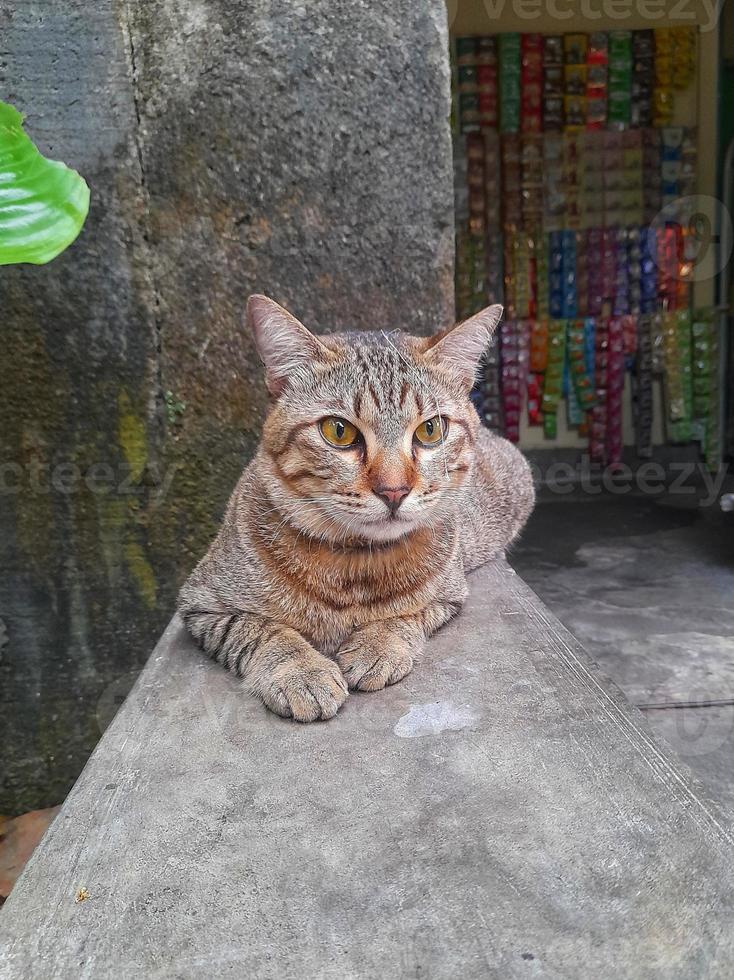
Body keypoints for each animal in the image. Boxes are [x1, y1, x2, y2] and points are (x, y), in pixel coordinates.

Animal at [178, 294, 536, 724]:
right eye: (339, 431)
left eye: (430, 430)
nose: (394, 490)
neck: (354, 567)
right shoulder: (202, 605)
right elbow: (262, 632)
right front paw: (300, 670)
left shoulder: (449, 594)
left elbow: (407, 615)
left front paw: (379, 642)